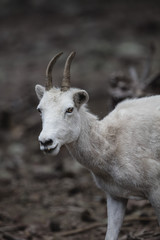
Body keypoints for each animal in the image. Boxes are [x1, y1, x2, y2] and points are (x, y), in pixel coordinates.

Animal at [34, 52, 160, 240]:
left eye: (69, 109)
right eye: (40, 109)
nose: (46, 142)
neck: (112, 145)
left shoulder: (155, 191)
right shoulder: (115, 196)